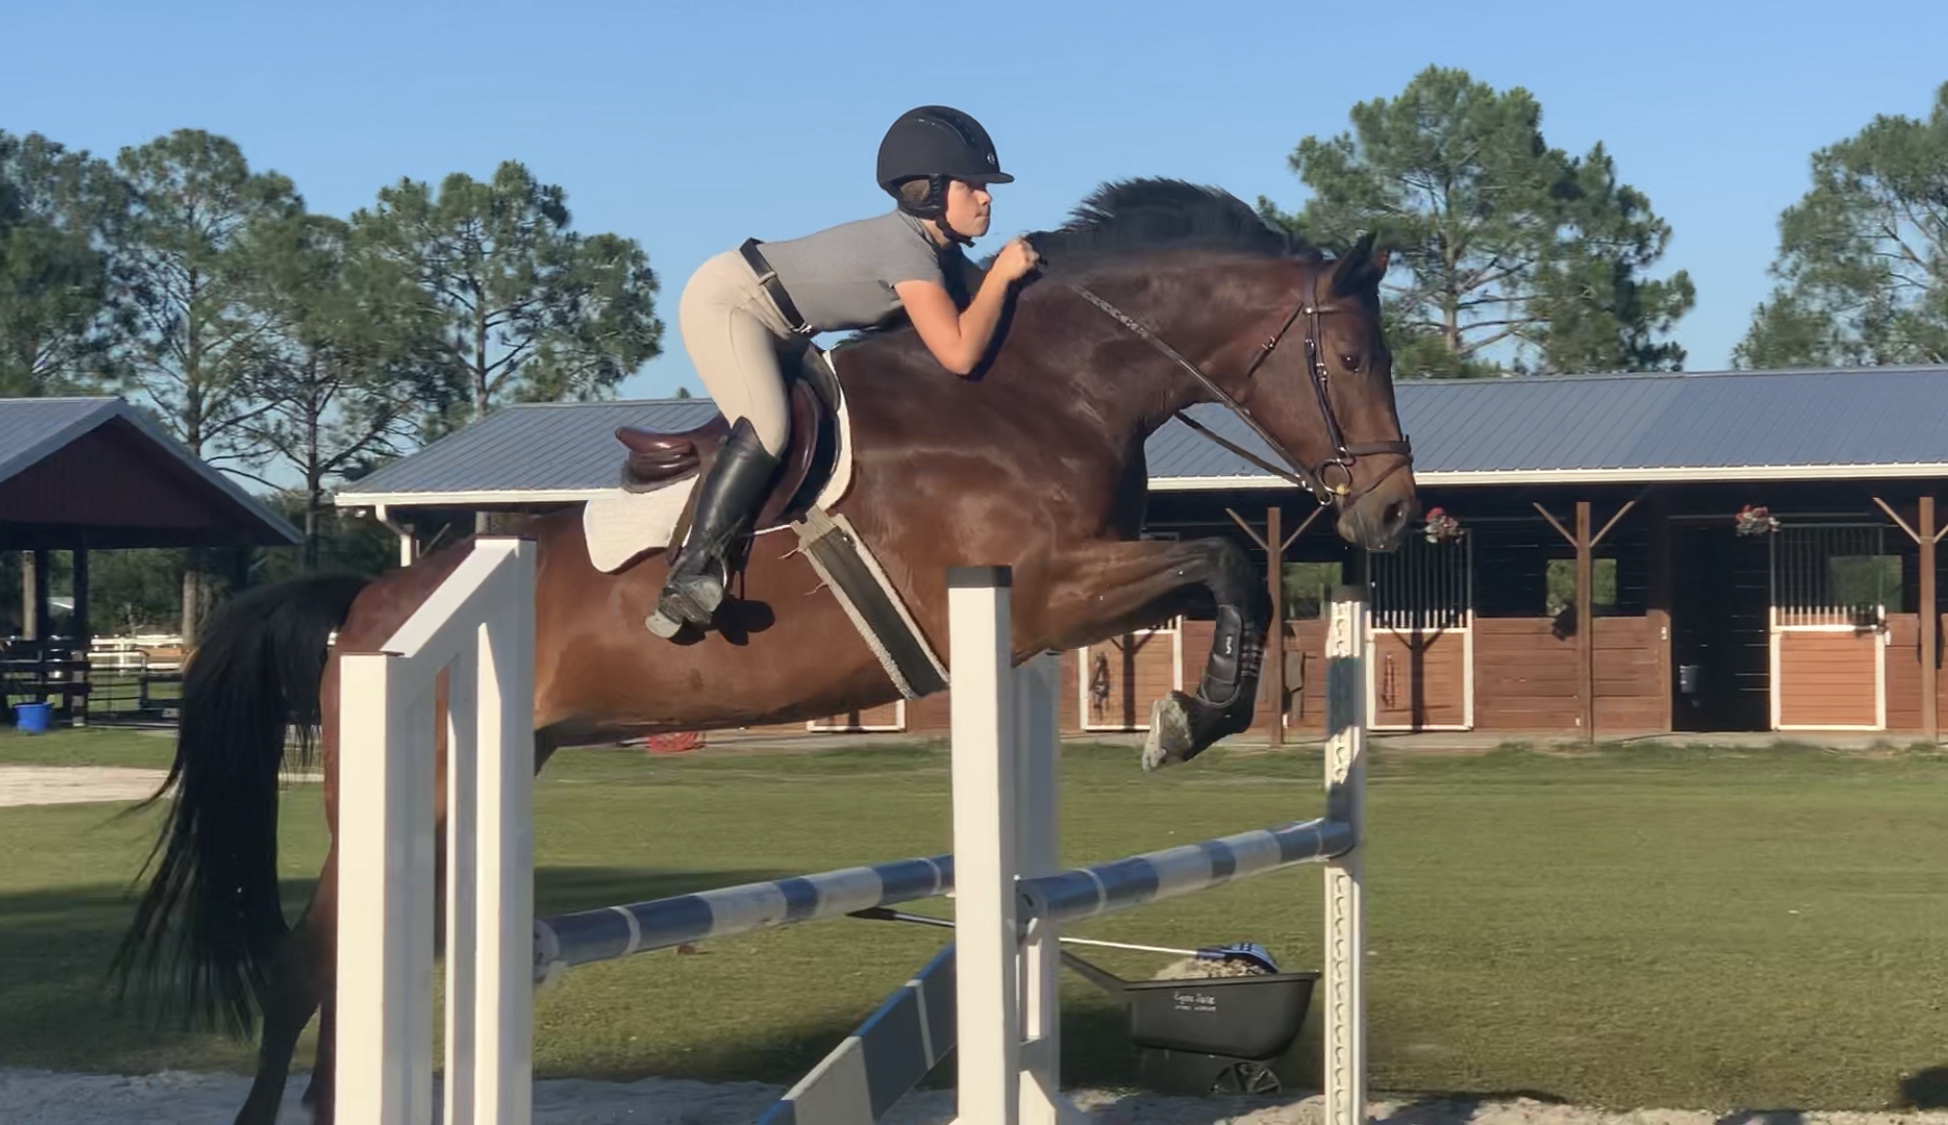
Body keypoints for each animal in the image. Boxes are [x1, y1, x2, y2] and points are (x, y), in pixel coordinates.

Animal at [109, 177, 1418, 1124]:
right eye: (1354, 359)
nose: (1394, 516)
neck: (1045, 386)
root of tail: (376, 602)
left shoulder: (1064, 599)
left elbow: (1222, 570)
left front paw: (1193, 713)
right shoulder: (1040, 588)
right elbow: (1227, 562)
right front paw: (1188, 720)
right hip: (405, 790)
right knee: (307, 972)